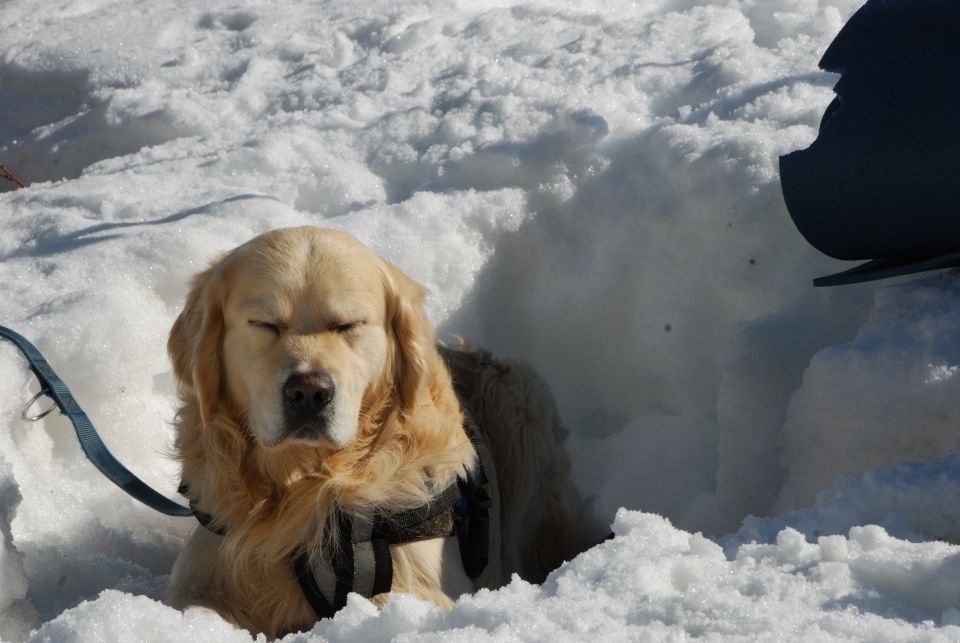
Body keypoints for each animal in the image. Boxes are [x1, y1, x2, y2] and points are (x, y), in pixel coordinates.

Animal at [168, 229, 604, 636]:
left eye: (348, 325)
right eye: (264, 325)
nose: (309, 392)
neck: (309, 485)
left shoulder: (426, 586)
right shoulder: (206, 573)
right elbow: (196, 609)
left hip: (518, 403)